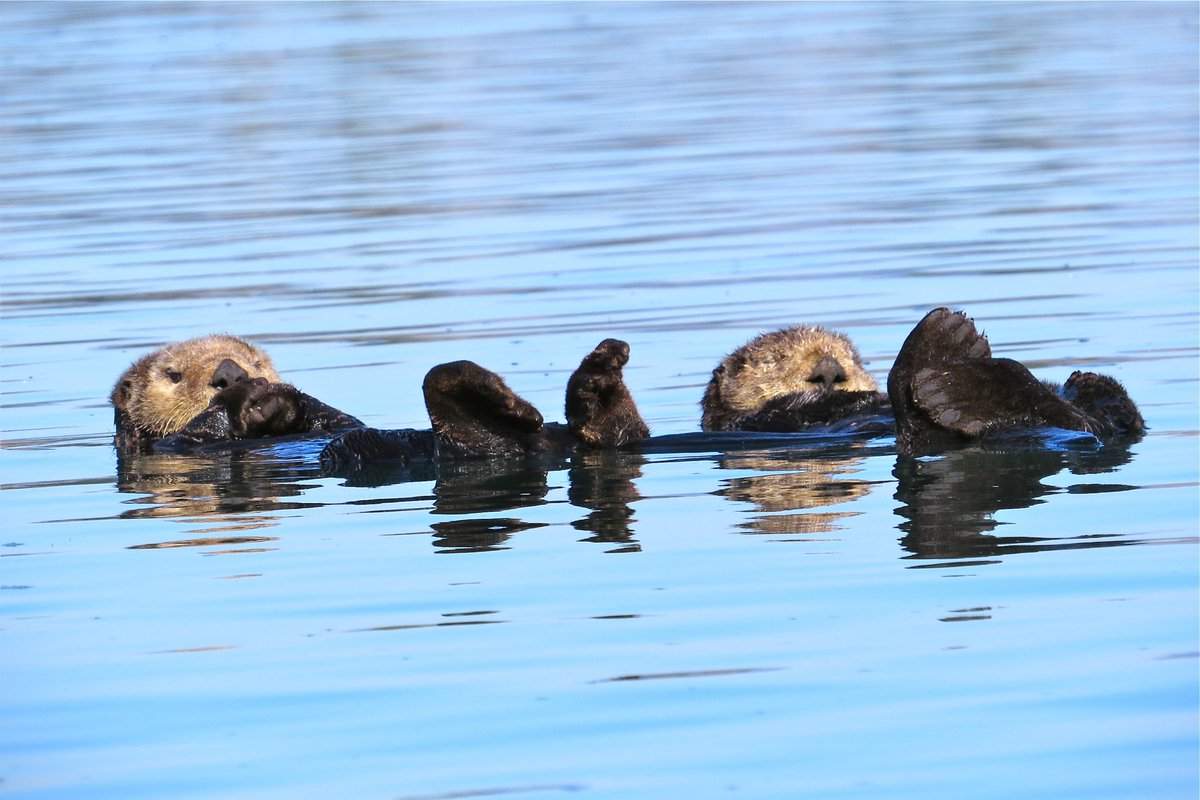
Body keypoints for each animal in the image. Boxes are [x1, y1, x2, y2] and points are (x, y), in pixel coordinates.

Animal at [112, 334, 361, 453]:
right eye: (174, 375)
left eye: (256, 362)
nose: (230, 372)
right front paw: (241, 394)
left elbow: (345, 422)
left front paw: (281, 395)